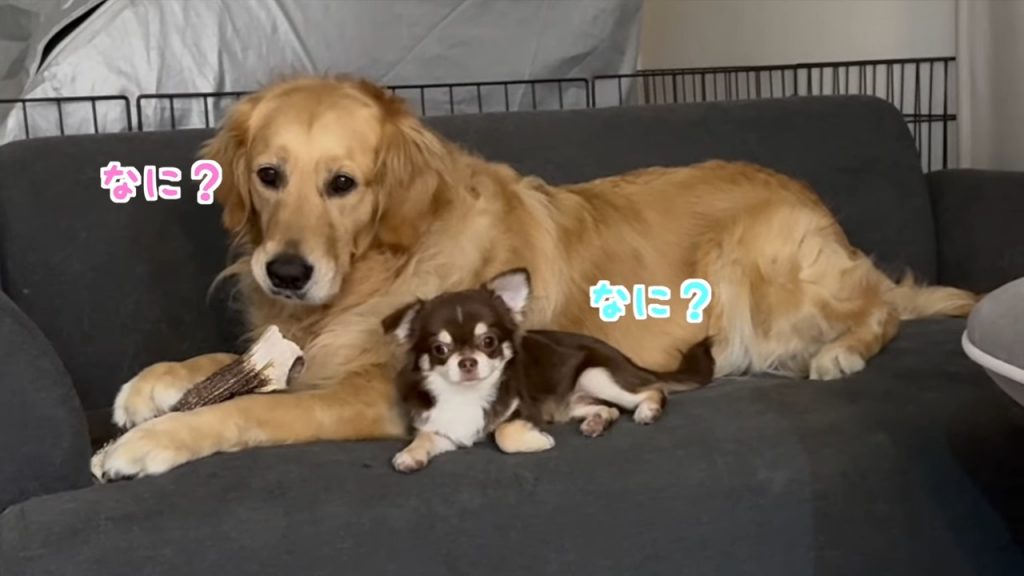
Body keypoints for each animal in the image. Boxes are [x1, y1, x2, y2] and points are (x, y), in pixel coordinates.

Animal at [381, 268, 715, 473]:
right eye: (440, 349)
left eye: (488, 341)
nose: (467, 362)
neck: (467, 396)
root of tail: (625, 358)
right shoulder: (446, 429)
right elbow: (425, 437)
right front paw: (410, 453)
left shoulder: (526, 412)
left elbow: (503, 432)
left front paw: (537, 441)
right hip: (569, 405)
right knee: (609, 409)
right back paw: (597, 422)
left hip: (596, 374)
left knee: (653, 390)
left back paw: (647, 410)